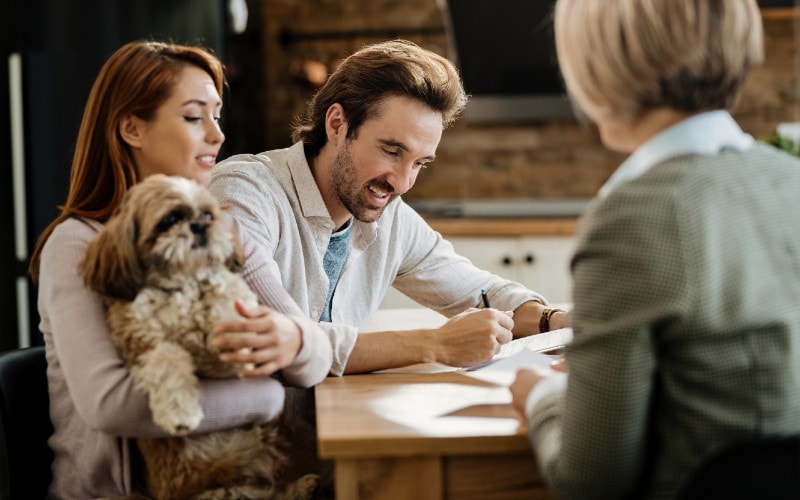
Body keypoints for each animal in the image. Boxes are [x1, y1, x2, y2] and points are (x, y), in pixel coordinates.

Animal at [80, 175, 318, 500]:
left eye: (207, 214)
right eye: (169, 220)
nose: (198, 226)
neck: (182, 286)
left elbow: (226, 293)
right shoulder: (141, 343)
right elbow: (167, 359)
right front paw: (180, 411)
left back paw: (304, 485)